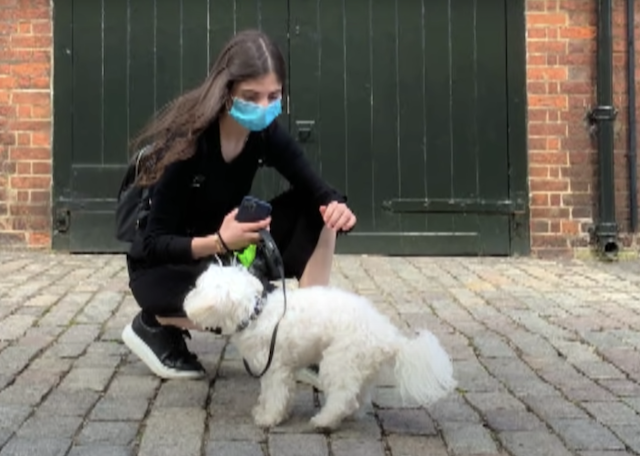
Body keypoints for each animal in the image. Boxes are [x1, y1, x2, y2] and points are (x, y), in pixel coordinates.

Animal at [182, 262, 458, 430]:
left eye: (196, 287)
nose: (185, 298)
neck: (255, 313)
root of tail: (387, 337)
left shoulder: (275, 369)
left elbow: (275, 394)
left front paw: (268, 417)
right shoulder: (279, 369)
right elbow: (279, 394)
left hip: (339, 361)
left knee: (343, 397)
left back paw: (324, 420)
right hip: (357, 367)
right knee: (357, 398)